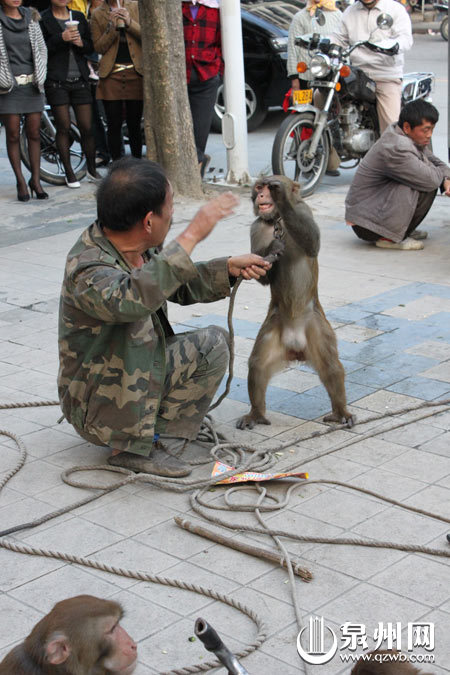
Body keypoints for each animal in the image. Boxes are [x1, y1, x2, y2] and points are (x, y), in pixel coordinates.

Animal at [237, 174, 354, 428]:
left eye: (268, 187)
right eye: (259, 187)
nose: (262, 194)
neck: (276, 222)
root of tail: (295, 346)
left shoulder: (303, 211)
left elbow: (312, 244)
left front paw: (283, 197)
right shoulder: (256, 227)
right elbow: (263, 271)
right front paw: (270, 250)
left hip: (317, 328)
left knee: (331, 368)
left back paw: (340, 412)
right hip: (274, 327)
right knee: (258, 366)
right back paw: (256, 413)